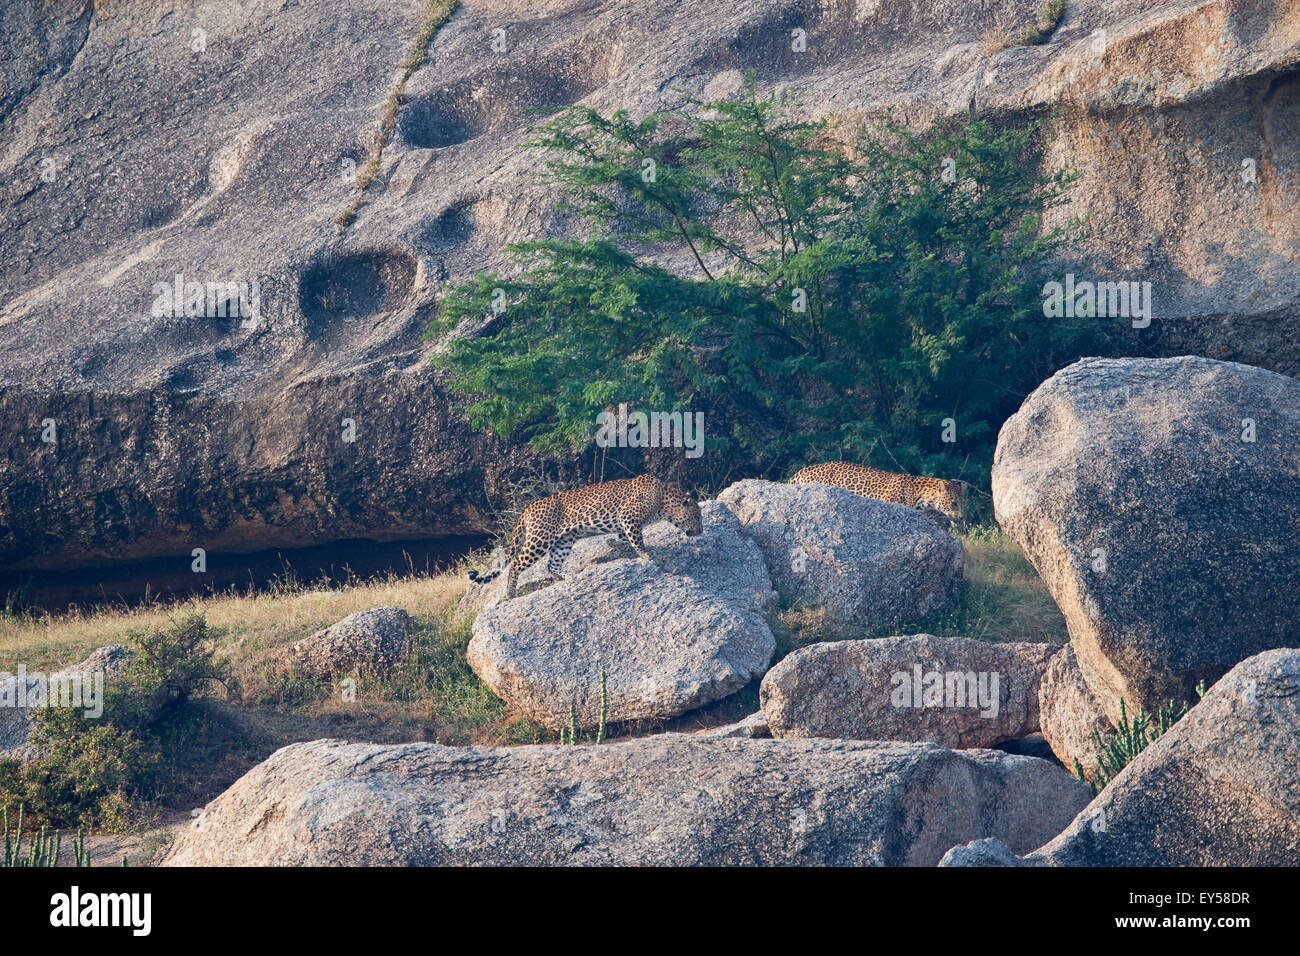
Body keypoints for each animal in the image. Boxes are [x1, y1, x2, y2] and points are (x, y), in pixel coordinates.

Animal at [467, 474, 704, 599]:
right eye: (697, 516)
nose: (701, 531)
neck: (663, 500)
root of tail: (528, 508)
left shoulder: (625, 523)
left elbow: (625, 542)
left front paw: (612, 543)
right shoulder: (628, 516)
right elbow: (638, 542)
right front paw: (646, 555)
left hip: (565, 539)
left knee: (552, 565)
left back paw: (571, 576)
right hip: (540, 538)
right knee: (516, 562)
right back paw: (510, 593)